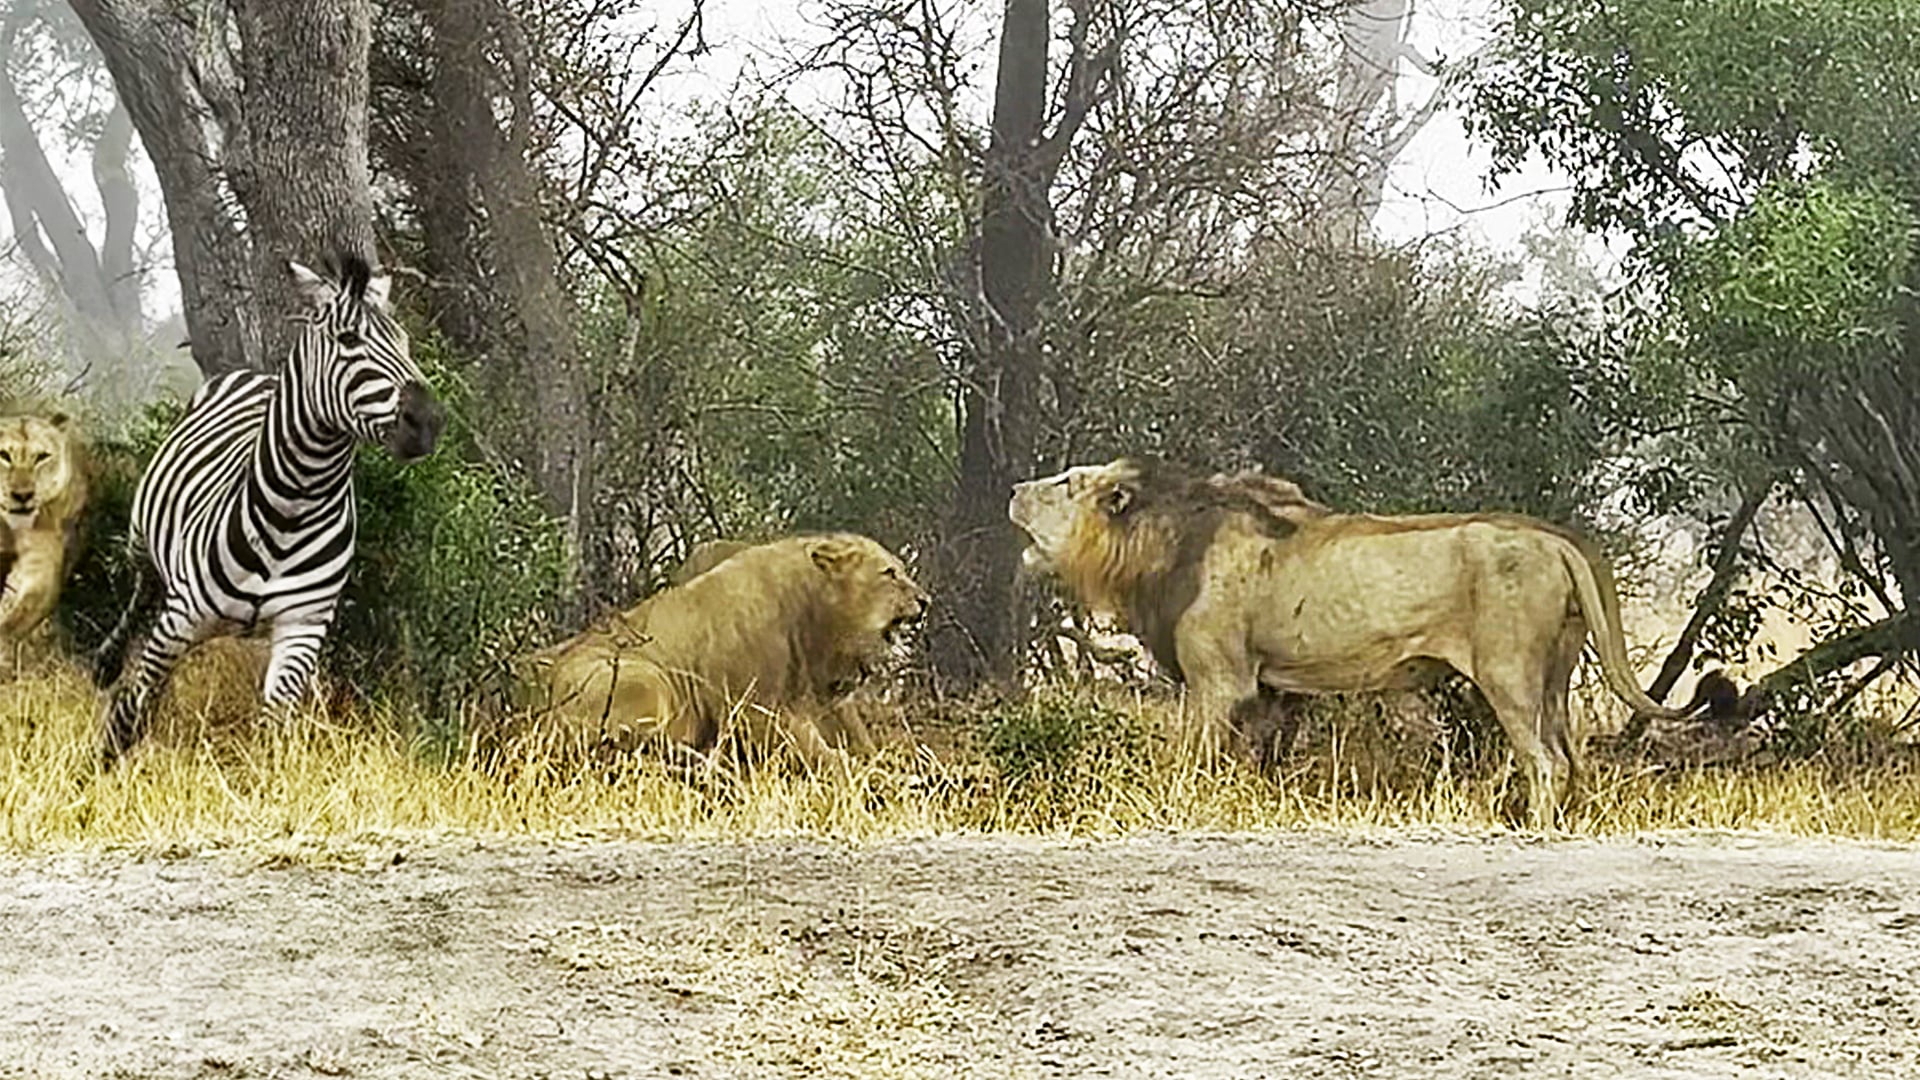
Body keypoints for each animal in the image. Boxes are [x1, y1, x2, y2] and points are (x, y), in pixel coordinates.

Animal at [93, 254, 445, 765]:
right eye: (348, 340)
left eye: (404, 341)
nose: (429, 422)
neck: (293, 504)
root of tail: (257, 374)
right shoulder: (179, 620)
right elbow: (129, 708)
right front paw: (92, 772)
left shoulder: (302, 629)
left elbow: (274, 726)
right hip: (142, 535)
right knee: (141, 593)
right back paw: (106, 662)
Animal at [512, 532, 928, 769]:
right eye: (890, 573)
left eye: (903, 570)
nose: (925, 601)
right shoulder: (751, 710)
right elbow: (816, 750)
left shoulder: (829, 706)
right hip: (644, 677)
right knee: (632, 742)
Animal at [1009, 457, 1714, 829]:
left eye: (1066, 483)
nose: (1014, 489)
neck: (1158, 546)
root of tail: (1556, 538)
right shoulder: (1272, 688)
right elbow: (1258, 762)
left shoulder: (1220, 681)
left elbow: (1190, 759)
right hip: (1555, 677)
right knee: (1570, 757)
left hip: (1507, 672)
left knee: (1545, 762)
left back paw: (1534, 829)